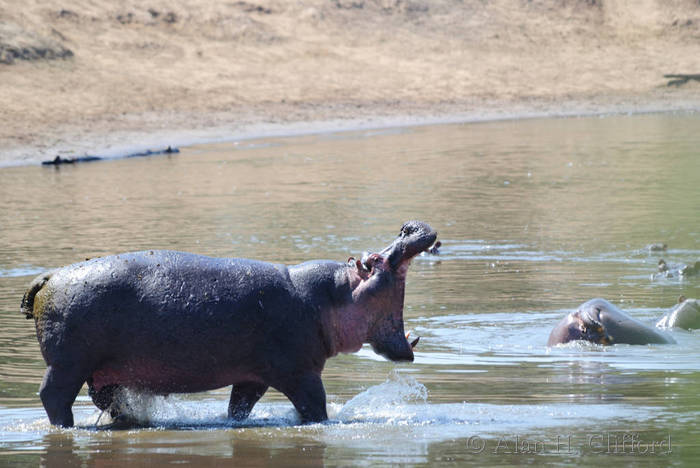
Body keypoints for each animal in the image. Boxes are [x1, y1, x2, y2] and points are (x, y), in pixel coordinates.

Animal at [21, 221, 436, 427]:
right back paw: (66, 427)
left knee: (106, 400)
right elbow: (315, 407)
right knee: (53, 395)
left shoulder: (253, 377)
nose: (408, 226)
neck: (332, 295)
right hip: (68, 364)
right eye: (376, 261)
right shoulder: (300, 372)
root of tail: (48, 277)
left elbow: (239, 408)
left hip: (101, 372)